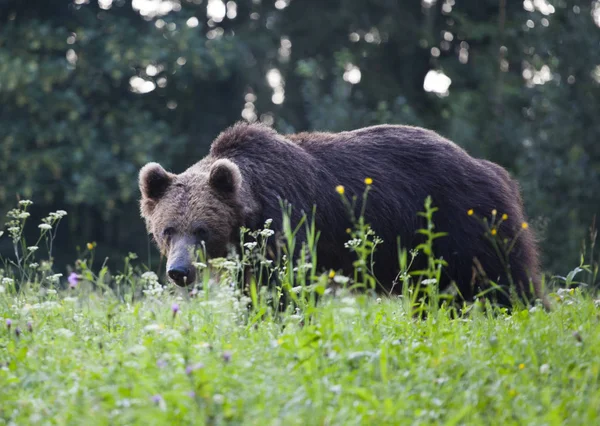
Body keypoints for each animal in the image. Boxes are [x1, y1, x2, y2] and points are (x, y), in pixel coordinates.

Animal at [138, 122, 548, 306]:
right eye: (168, 230)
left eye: (202, 229)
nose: (179, 271)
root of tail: (492, 169)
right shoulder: (254, 253)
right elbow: (254, 290)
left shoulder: (290, 227)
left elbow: (282, 290)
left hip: (466, 222)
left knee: (505, 280)